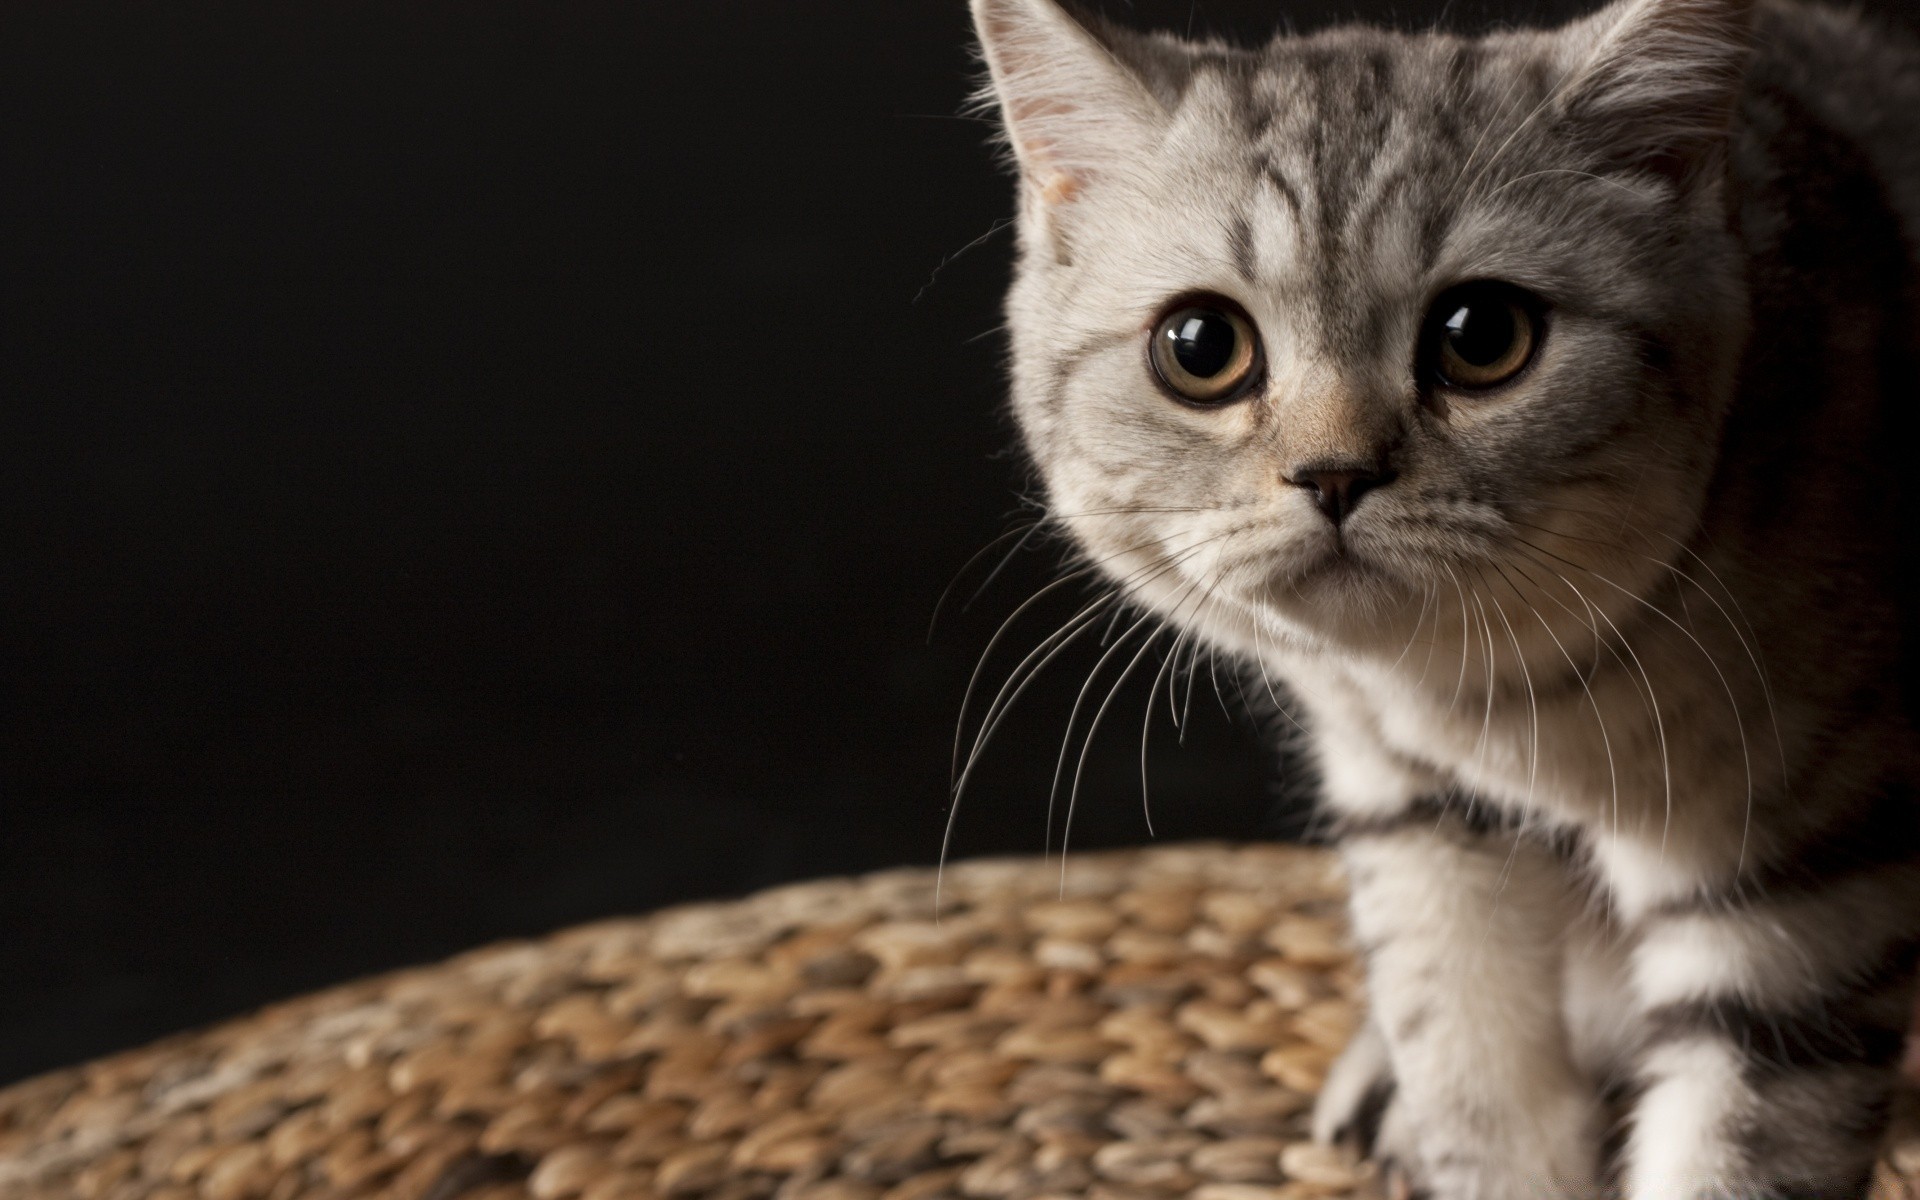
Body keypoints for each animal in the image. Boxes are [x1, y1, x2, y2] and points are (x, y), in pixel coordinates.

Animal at [967, 0, 1920, 1190]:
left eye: (1482, 337)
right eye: (1200, 347)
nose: (1334, 474)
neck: (1496, 708)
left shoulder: (1800, 894)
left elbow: (1733, 1148)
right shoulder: (1417, 822)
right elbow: (1472, 1080)